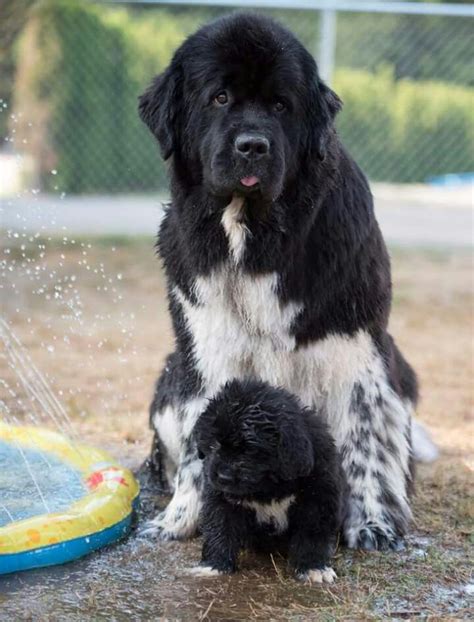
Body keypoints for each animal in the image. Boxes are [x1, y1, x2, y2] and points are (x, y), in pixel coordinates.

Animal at [138, 13, 436, 552]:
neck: (251, 235)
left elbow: (365, 438)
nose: (252, 145)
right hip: (169, 377)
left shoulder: (356, 347)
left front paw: (372, 523)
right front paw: (180, 517)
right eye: (220, 97)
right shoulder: (207, 348)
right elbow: (198, 439)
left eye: (281, 104)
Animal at [193, 380, 344, 584]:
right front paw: (214, 565)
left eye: (250, 450)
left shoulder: (318, 497)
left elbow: (313, 533)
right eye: (214, 443)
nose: (223, 477)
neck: (268, 487)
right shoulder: (221, 499)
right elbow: (219, 527)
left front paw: (314, 567)